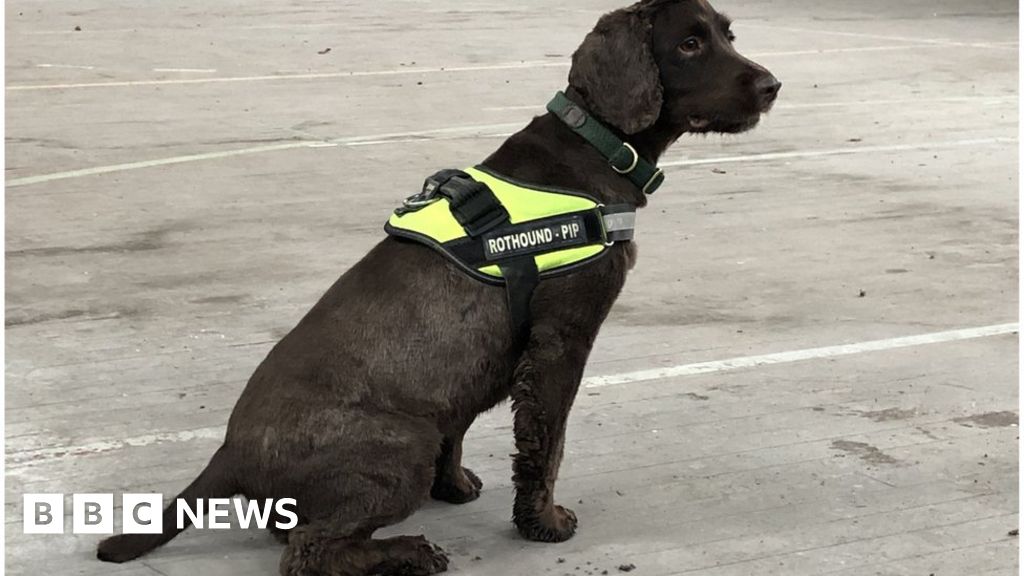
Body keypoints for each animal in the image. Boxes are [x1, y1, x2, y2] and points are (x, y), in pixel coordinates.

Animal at [99, 2, 778, 569]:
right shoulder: (560, 342)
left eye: (728, 34)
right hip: (403, 443)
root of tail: (228, 455)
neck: (592, 147)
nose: (773, 85)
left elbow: (464, 426)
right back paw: (409, 550)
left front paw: (453, 487)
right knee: (312, 551)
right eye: (689, 42)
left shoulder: (475, 374)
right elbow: (547, 445)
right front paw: (545, 523)